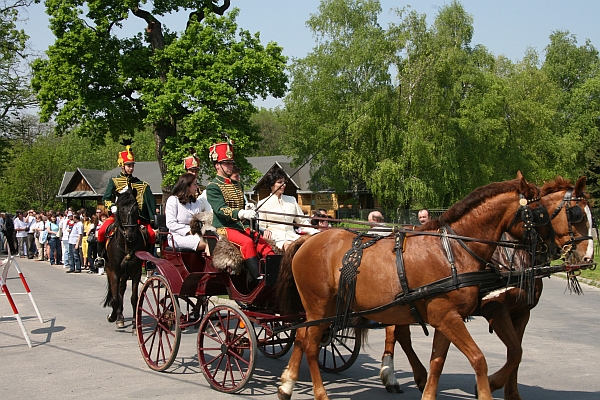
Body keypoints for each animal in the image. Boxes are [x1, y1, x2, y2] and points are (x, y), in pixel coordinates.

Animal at [103, 188, 147, 328]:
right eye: (121, 208)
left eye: (136, 208)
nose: (131, 235)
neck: (127, 246)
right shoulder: (115, 272)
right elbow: (115, 298)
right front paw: (113, 316)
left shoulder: (136, 272)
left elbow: (134, 298)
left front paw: (134, 323)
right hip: (111, 270)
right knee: (116, 293)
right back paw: (118, 316)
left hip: (125, 274)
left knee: (121, 291)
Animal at [274, 177, 556, 400]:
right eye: (541, 212)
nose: (553, 248)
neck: (452, 250)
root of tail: (307, 240)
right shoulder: (451, 317)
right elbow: (479, 359)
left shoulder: (447, 318)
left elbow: (438, 361)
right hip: (319, 307)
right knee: (311, 346)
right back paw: (320, 393)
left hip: (325, 310)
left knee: (301, 338)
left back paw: (287, 386)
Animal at [378, 177, 592, 398]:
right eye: (575, 214)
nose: (588, 257)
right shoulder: (495, 308)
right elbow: (514, 353)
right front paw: (491, 383)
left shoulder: (522, 313)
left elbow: (516, 352)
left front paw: (511, 394)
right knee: (395, 334)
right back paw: (392, 376)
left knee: (401, 334)